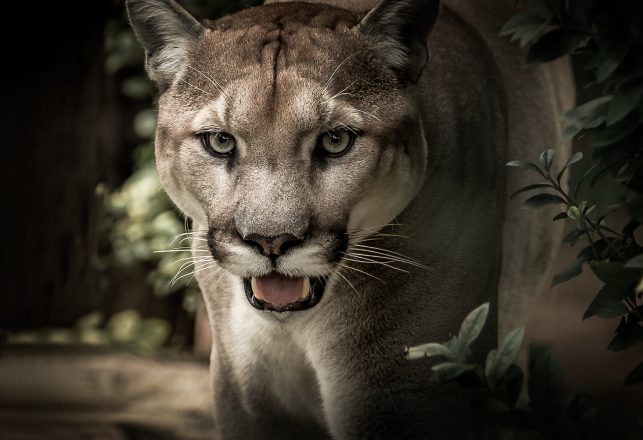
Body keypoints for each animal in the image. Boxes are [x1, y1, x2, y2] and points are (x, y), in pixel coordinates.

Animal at [128, 0, 576, 436]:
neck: (293, 328)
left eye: (336, 140)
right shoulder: (244, 393)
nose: (271, 241)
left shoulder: (405, 392)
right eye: (220, 141)